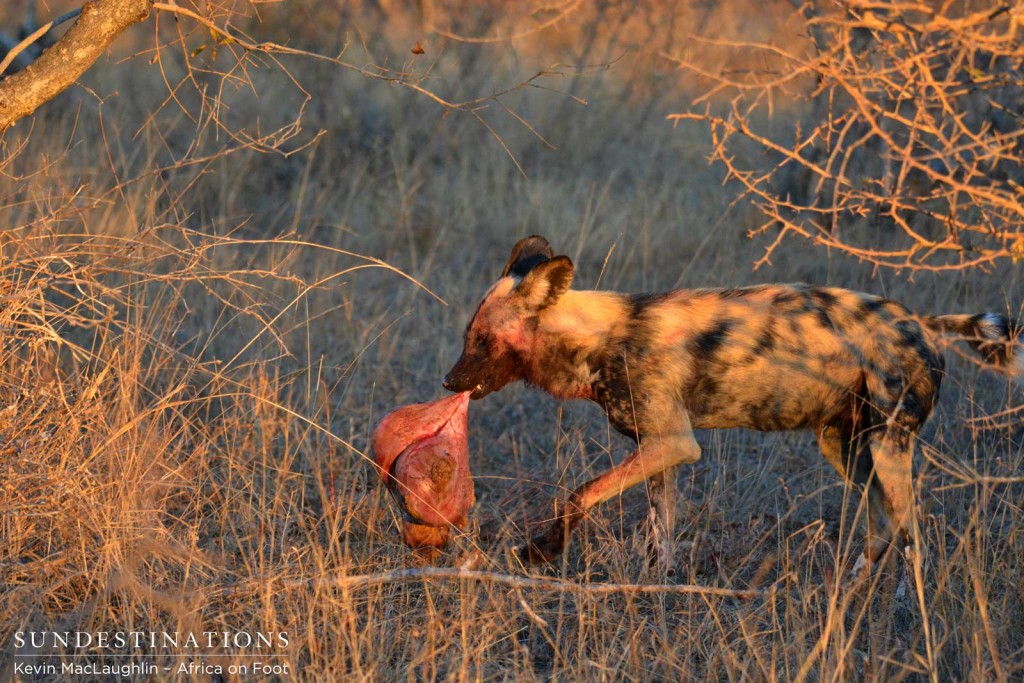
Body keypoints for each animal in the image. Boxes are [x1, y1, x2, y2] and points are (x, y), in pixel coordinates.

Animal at [446, 237, 1024, 573]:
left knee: (912, 539)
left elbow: (577, 495)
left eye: (481, 340)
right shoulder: (660, 450)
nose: (449, 381)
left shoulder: (674, 444)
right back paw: (850, 598)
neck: (599, 338)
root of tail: (919, 322)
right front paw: (656, 596)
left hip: (887, 445)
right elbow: (660, 538)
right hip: (844, 447)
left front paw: (540, 552)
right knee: (880, 527)